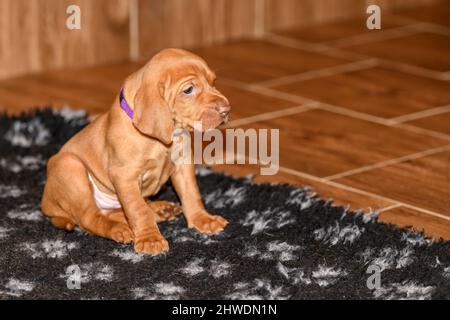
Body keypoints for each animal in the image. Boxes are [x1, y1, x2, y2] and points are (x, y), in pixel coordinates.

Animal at [41, 48, 232, 254]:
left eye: (213, 82)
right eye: (188, 90)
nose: (227, 109)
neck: (163, 138)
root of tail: (46, 202)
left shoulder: (183, 165)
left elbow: (191, 194)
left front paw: (203, 219)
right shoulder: (125, 177)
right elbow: (137, 210)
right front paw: (150, 239)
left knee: (114, 212)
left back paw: (160, 210)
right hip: (69, 166)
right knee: (90, 218)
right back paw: (119, 229)